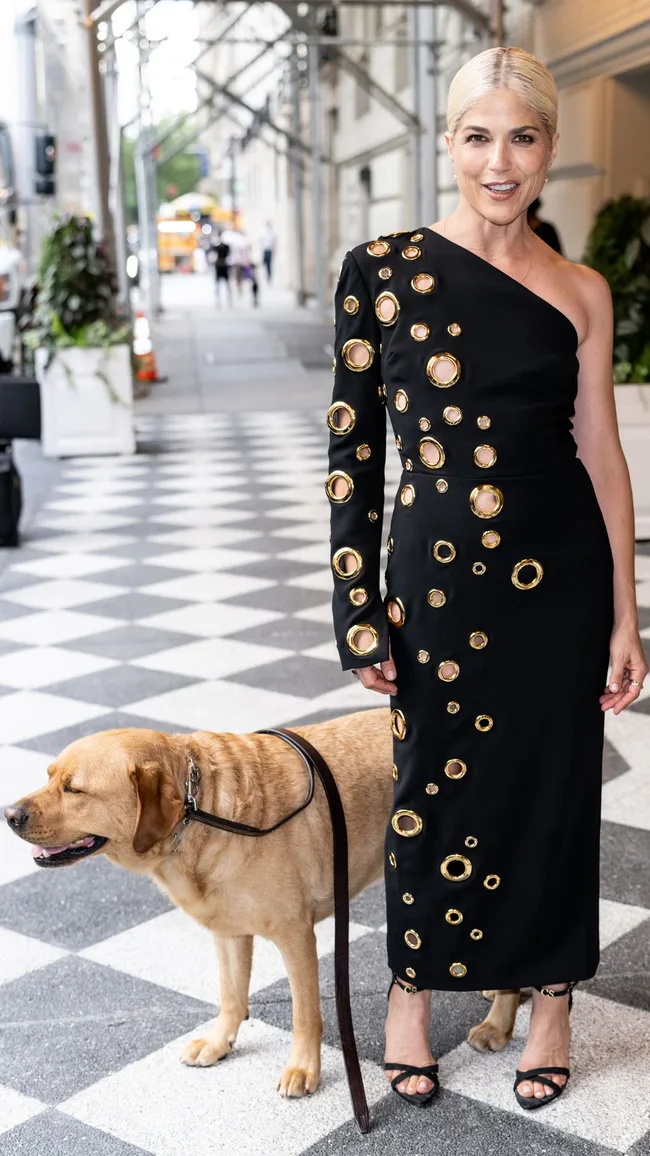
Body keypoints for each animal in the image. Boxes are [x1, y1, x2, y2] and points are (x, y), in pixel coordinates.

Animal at [0, 702, 515, 1091]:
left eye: (75, 789)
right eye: (49, 775)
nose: (10, 814)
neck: (201, 811)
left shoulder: (297, 937)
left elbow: (305, 1014)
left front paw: (304, 1069)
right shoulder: (228, 932)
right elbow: (231, 996)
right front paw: (219, 1043)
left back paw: (498, 1024)